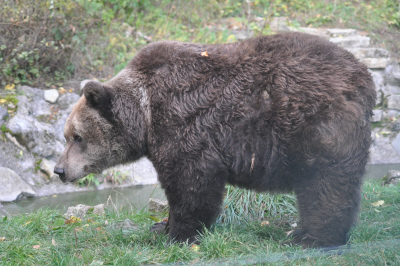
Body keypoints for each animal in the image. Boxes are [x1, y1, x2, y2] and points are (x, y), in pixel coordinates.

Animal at [54, 32, 376, 248]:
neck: (145, 115)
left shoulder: (183, 124)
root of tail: (364, 75)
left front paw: (178, 234)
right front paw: (161, 226)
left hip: (314, 124)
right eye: (67, 135)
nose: (59, 170)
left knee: (325, 184)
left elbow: (191, 184)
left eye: (77, 137)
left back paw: (313, 238)